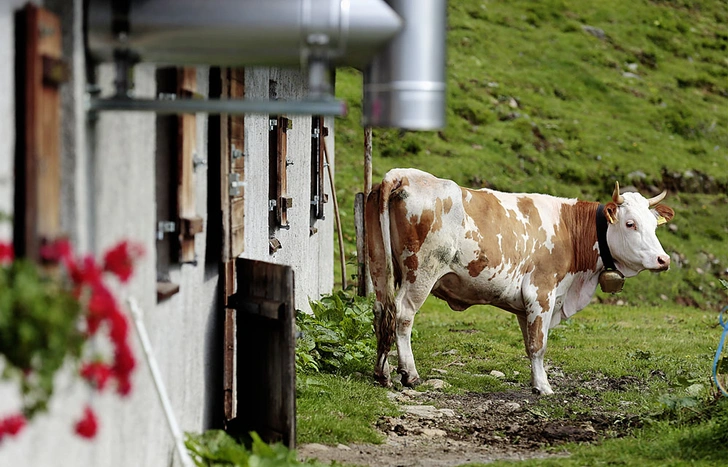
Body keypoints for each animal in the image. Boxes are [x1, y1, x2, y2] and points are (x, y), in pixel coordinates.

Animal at [364, 168, 676, 394]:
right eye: (630, 224)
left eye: (653, 224)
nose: (664, 259)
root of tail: (402, 174)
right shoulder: (541, 292)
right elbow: (539, 344)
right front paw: (544, 387)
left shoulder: (525, 304)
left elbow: (529, 344)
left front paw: (536, 382)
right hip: (422, 271)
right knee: (403, 315)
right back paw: (410, 374)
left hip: (378, 265)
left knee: (382, 311)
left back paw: (382, 373)